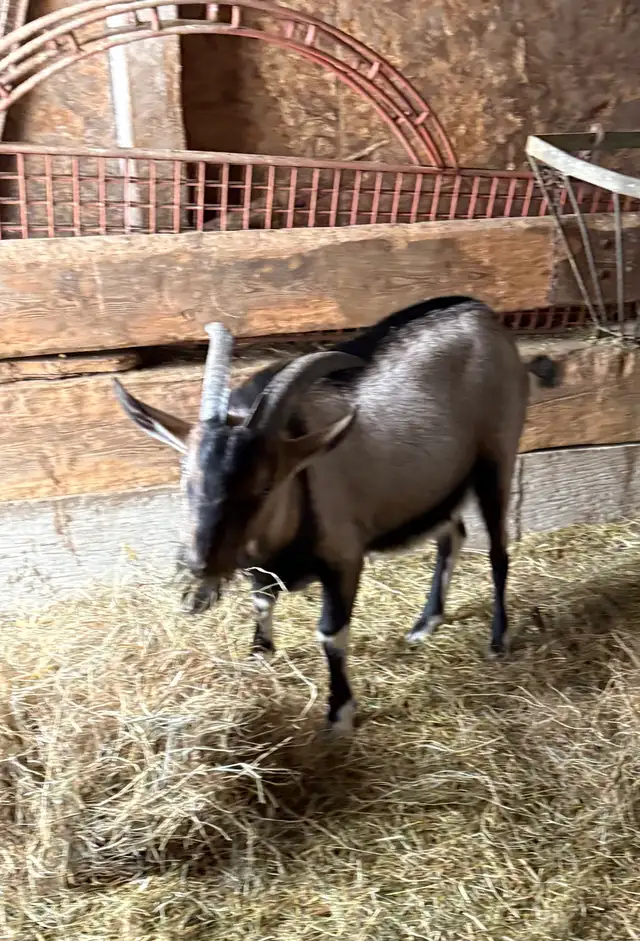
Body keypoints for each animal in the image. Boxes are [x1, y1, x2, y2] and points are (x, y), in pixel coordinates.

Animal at [113, 297, 558, 732]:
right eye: (185, 478)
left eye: (265, 485)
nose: (197, 568)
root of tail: (482, 313)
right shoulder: (259, 566)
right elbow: (261, 603)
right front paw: (259, 654)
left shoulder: (344, 558)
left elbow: (330, 633)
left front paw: (340, 714)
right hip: (436, 482)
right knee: (453, 533)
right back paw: (424, 624)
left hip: (496, 456)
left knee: (498, 551)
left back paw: (498, 640)